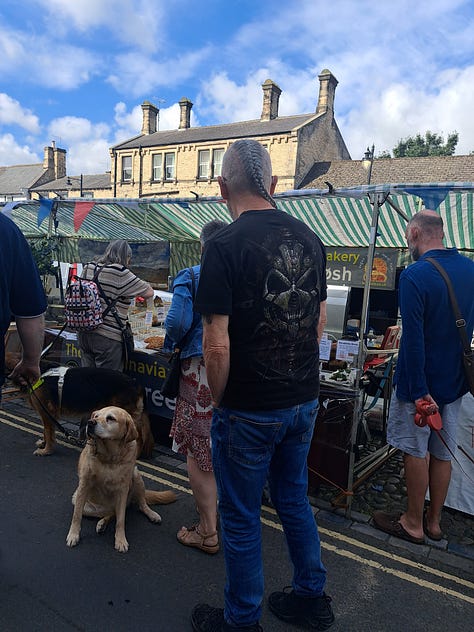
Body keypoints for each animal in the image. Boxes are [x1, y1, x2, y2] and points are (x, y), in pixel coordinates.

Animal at [27, 366, 155, 460]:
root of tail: (137, 384)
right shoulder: (46, 415)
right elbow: (45, 431)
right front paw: (43, 444)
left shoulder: (47, 413)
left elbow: (48, 433)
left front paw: (46, 450)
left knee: (138, 437)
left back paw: (136, 455)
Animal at [66, 408, 176, 552]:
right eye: (96, 416)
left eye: (110, 418)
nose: (90, 422)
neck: (109, 456)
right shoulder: (84, 486)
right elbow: (76, 515)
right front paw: (73, 535)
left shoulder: (122, 491)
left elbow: (121, 520)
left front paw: (120, 539)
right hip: (81, 501)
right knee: (109, 512)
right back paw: (102, 523)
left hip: (136, 476)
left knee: (139, 505)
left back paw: (151, 514)